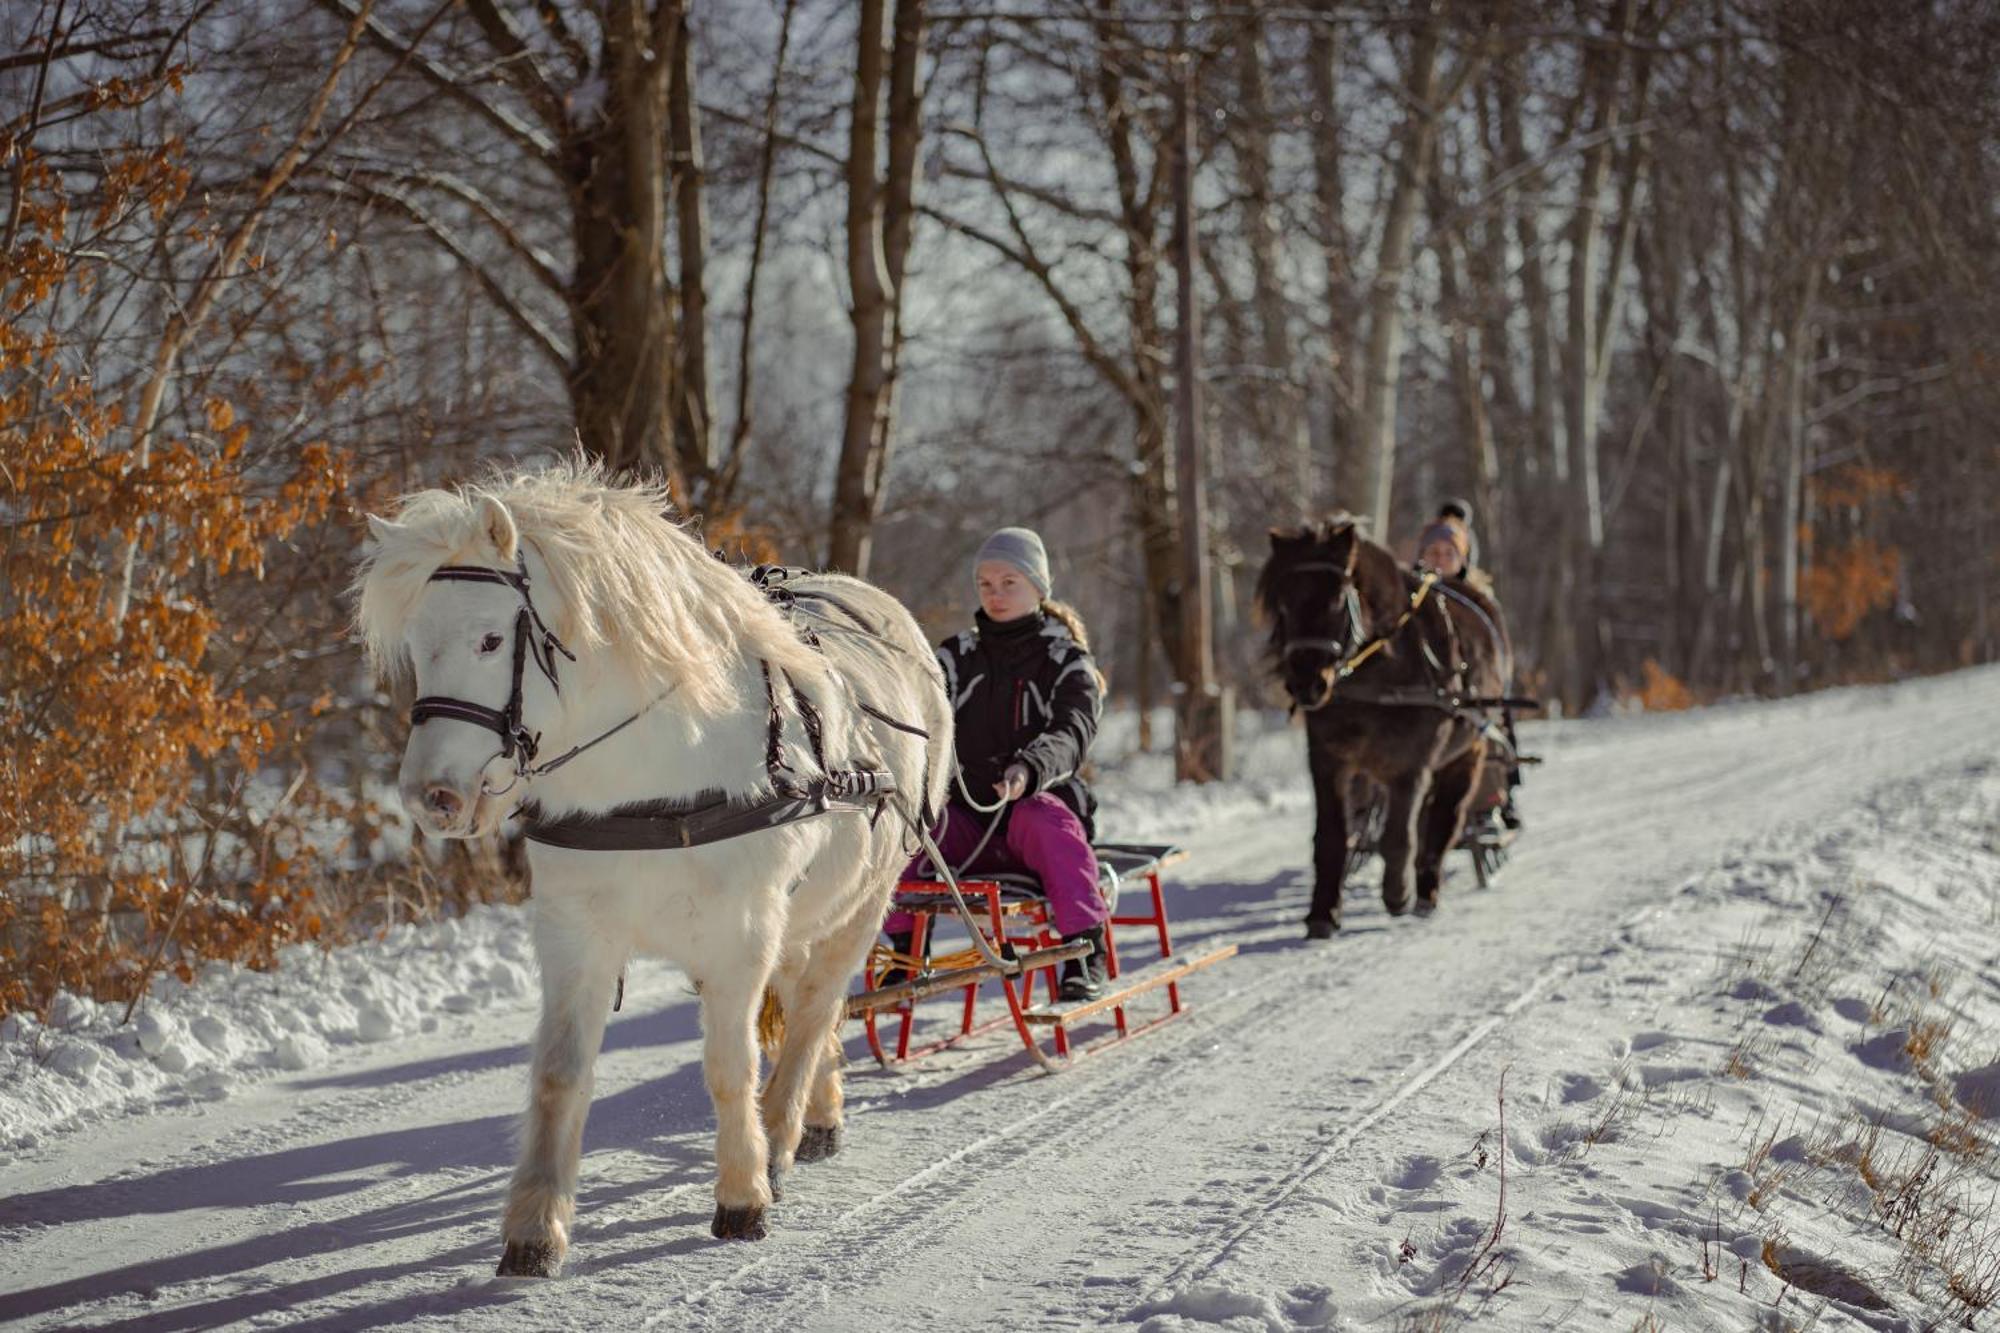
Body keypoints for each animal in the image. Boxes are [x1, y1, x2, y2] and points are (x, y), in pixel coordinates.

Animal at [352, 460, 952, 1280]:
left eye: (488, 638)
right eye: (416, 643)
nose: (429, 796)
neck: (654, 771)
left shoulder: (739, 935)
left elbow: (730, 1065)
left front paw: (743, 1194)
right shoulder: (576, 933)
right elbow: (559, 1075)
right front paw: (535, 1228)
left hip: (865, 901)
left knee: (816, 1007)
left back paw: (784, 1130)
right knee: (810, 1004)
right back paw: (818, 1113)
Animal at [1256, 516, 1504, 932]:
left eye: (1336, 601)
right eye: (1284, 604)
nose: (1306, 683)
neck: (1378, 675)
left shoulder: (1411, 765)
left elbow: (1399, 837)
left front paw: (1397, 894)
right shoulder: (1329, 760)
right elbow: (1332, 837)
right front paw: (1323, 913)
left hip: (1466, 752)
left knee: (1444, 820)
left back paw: (1426, 889)